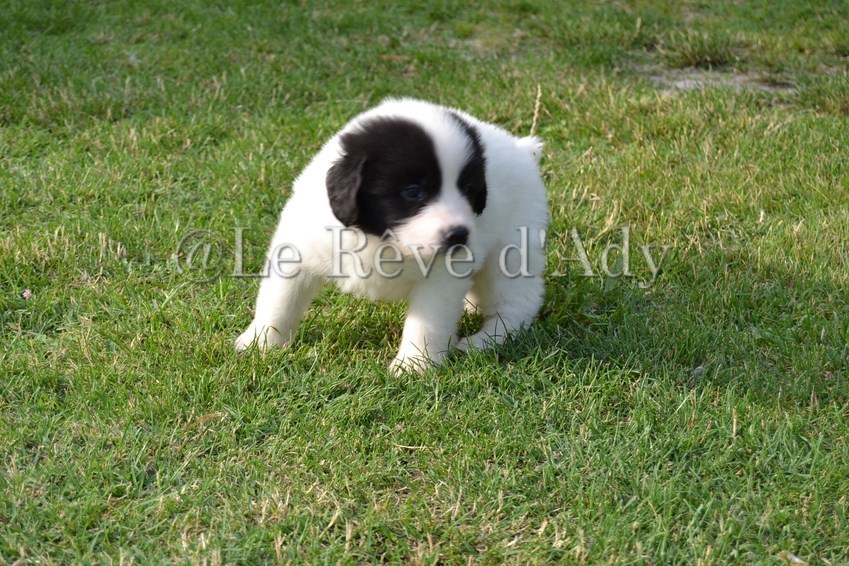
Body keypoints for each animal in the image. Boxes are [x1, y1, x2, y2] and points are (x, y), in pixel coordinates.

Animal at [236, 98, 548, 373]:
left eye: (469, 190)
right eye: (413, 192)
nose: (459, 235)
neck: (384, 241)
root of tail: (522, 150)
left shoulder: (441, 278)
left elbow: (427, 321)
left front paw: (413, 366)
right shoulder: (301, 247)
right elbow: (280, 300)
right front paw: (260, 343)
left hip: (512, 250)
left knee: (518, 302)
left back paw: (485, 340)